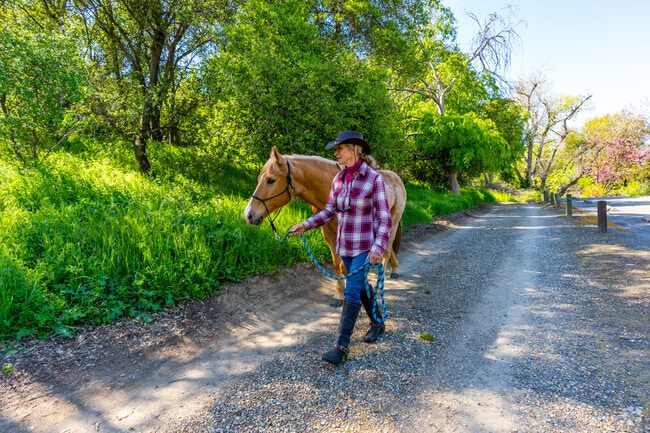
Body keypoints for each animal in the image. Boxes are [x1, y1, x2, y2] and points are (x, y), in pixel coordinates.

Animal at [244, 146, 407, 307]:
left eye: (271, 180)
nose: (248, 215)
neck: (329, 189)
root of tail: (395, 177)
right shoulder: (329, 235)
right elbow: (338, 265)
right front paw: (339, 295)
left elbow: (348, 267)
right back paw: (395, 269)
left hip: (392, 223)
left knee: (386, 252)